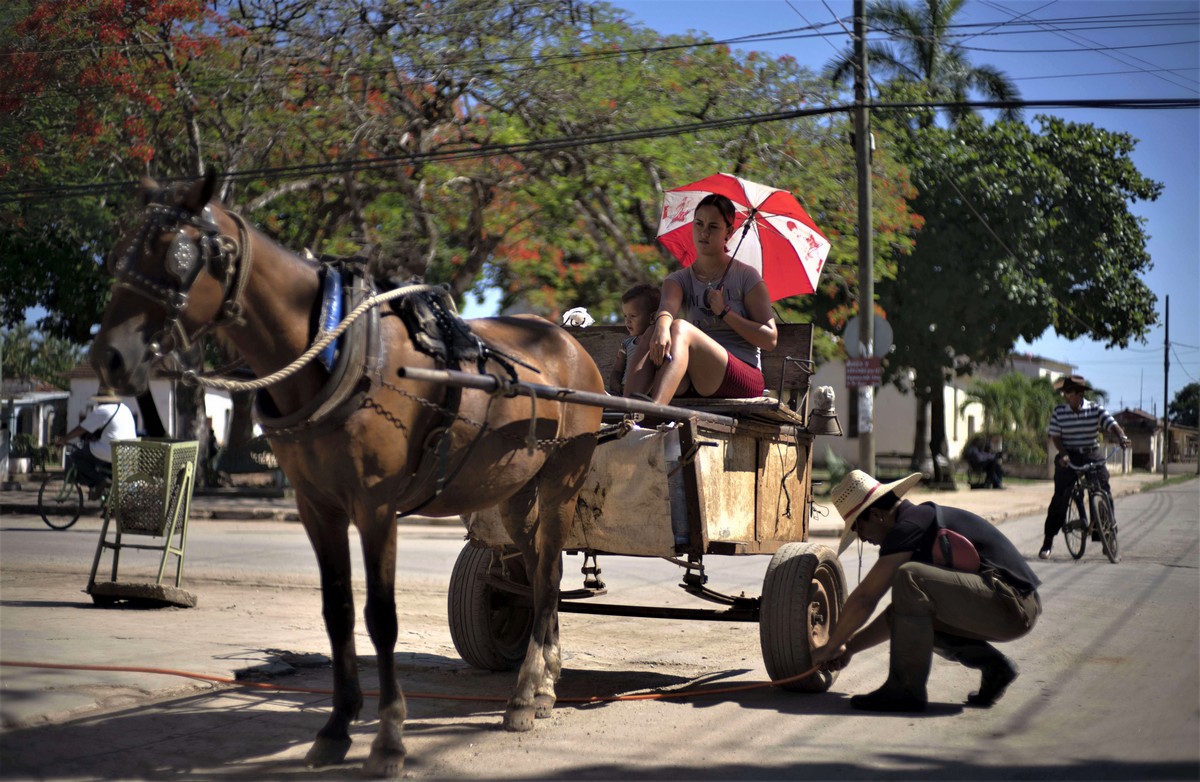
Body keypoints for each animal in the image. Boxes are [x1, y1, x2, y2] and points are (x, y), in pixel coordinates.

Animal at [91, 173, 609, 777]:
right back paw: (544, 682)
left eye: (177, 255)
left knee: (547, 574)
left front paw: (388, 741)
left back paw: (527, 695)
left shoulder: (376, 507)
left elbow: (380, 615)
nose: (110, 358)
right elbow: (337, 610)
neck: (339, 353)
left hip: (561, 484)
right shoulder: (318, 507)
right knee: (538, 572)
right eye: (122, 253)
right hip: (513, 491)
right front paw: (337, 727)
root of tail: (570, 342)